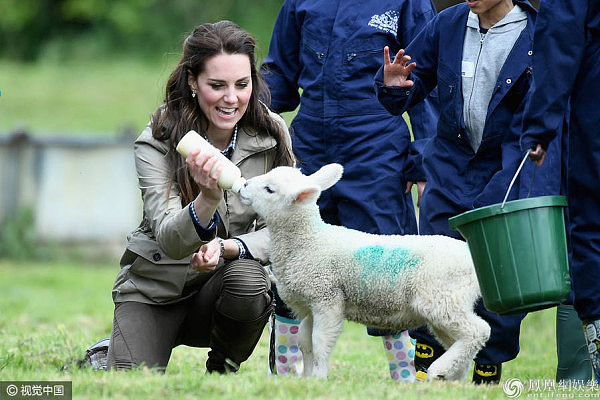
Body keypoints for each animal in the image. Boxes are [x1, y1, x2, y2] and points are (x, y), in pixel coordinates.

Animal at [237, 163, 490, 382]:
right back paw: (450, 380)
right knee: (461, 339)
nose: (244, 185)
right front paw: (308, 379)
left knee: (479, 332)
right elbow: (305, 343)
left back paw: (439, 370)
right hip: (445, 306)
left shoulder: (327, 298)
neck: (309, 241)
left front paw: (319, 378)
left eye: (270, 189)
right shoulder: (310, 304)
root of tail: (470, 255)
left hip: (442, 297)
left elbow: (320, 342)